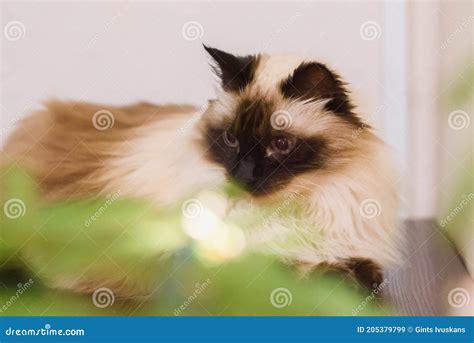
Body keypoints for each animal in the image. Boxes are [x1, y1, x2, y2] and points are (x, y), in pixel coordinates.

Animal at [3, 45, 404, 296]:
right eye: (231, 138)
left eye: (280, 144)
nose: (244, 174)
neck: (287, 211)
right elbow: (289, 270)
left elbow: (362, 271)